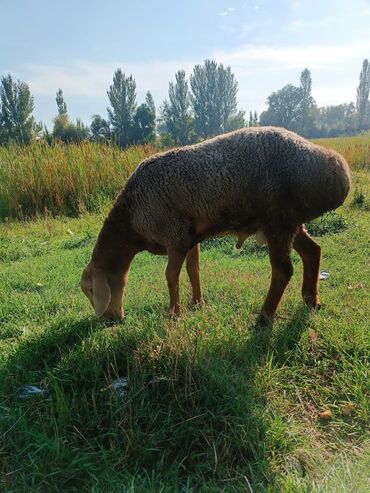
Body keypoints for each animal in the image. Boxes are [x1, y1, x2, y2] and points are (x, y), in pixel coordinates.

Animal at [80, 125, 350, 320]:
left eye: (92, 290)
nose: (108, 320)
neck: (131, 221)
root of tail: (337, 169)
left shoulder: (175, 236)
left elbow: (171, 276)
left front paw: (174, 314)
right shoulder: (189, 237)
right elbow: (193, 270)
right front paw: (197, 303)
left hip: (278, 221)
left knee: (283, 270)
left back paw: (265, 315)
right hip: (290, 222)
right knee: (312, 251)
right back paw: (311, 300)